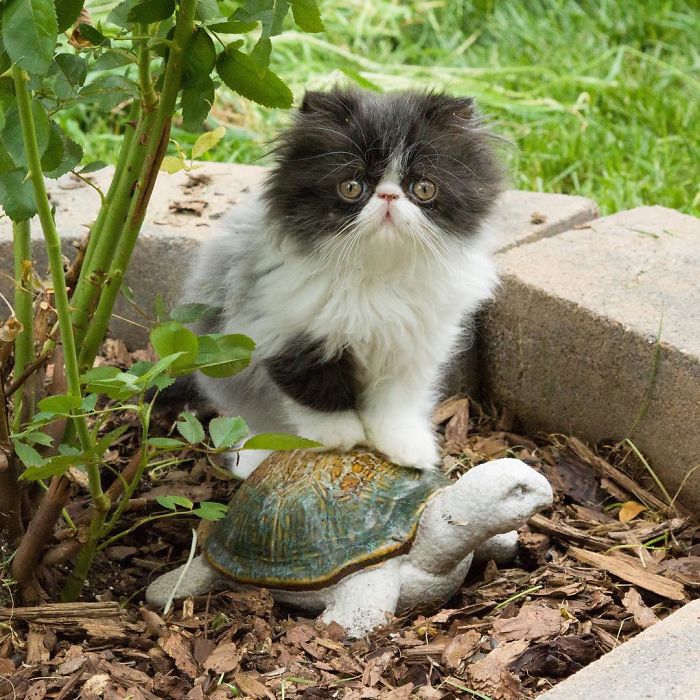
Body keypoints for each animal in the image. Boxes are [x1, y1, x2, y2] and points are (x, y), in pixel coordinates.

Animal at [183, 87, 506, 478]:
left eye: (423, 188)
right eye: (352, 187)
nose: (388, 196)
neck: (378, 276)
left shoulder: (413, 346)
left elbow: (396, 402)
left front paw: (405, 447)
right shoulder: (284, 332)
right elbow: (316, 392)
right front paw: (338, 436)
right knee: (261, 423)